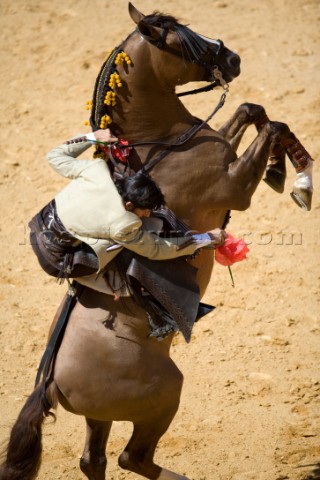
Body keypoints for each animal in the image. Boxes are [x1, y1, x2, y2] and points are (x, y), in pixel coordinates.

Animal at [0, 3, 310, 480]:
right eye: (183, 42)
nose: (233, 58)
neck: (162, 145)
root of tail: (50, 386)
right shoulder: (235, 187)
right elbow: (272, 126)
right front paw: (289, 175)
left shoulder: (218, 141)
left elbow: (249, 109)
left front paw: (284, 165)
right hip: (164, 395)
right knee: (133, 457)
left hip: (101, 417)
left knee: (94, 459)